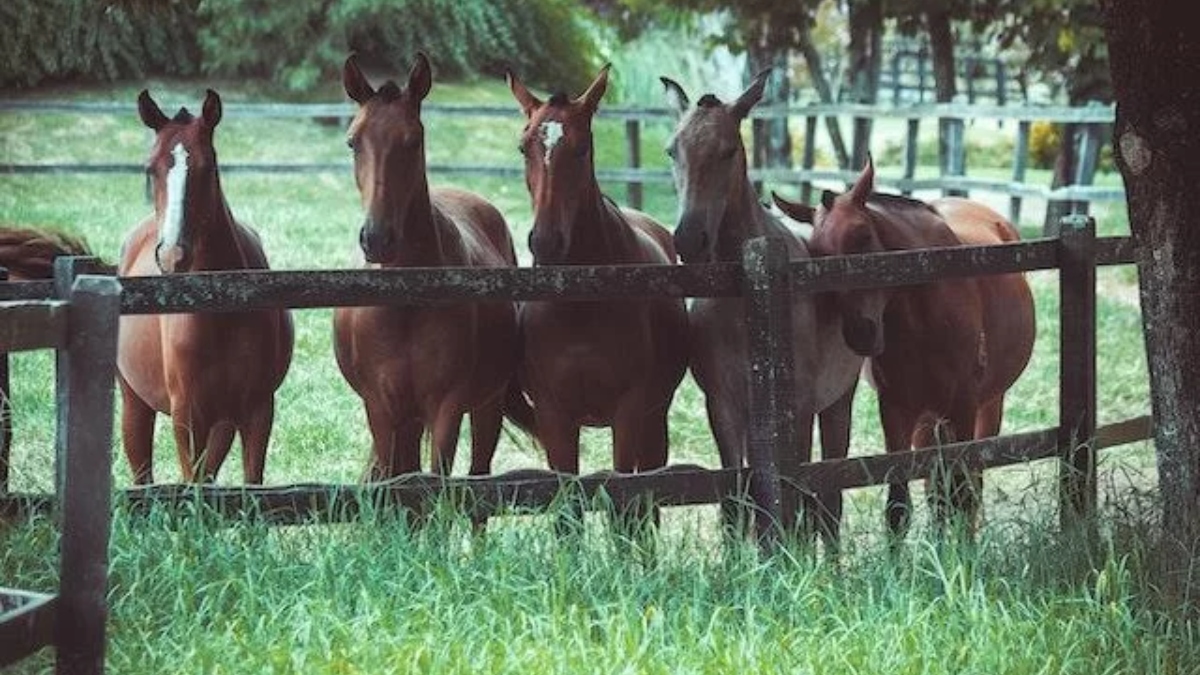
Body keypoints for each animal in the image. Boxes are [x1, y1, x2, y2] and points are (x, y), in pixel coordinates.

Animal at [117, 88, 295, 482]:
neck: (221, 308)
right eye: (150, 168)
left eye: (208, 167)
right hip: (135, 404)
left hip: (222, 424)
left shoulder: (257, 410)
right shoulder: (187, 416)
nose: (172, 256)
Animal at [333, 55, 520, 480]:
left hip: (487, 406)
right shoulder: (382, 409)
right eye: (353, 142)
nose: (377, 238)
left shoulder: (446, 407)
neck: (406, 302)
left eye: (413, 140)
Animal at [506, 64, 691, 478]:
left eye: (582, 148)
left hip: (654, 418)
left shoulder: (629, 410)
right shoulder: (554, 415)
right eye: (524, 147)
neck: (580, 303)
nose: (546, 242)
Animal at [662, 70, 868, 540]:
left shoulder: (800, 408)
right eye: (671, 151)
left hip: (838, 402)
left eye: (728, 150)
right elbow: (738, 501)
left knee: (829, 499)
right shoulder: (722, 406)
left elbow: (796, 501)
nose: (689, 240)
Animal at [772, 158, 1036, 535]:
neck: (926, 314)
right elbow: (900, 506)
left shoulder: (964, 406)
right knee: (937, 490)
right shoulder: (897, 410)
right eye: (817, 255)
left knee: (969, 486)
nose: (860, 333)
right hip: (930, 419)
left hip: (987, 405)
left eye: (863, 236)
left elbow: (962, 494)